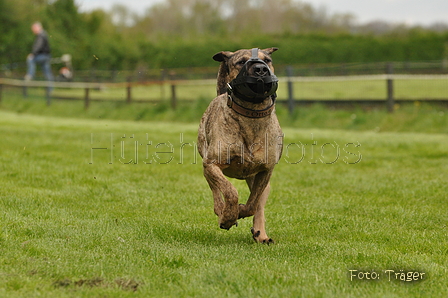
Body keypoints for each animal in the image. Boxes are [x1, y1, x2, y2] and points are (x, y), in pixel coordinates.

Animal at [197, 47, 282, 244]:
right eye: (241, 62)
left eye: (267, 60)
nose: (261, 69)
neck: (251, 113)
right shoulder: (212, 164)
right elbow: (230, 191)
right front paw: (228, 216)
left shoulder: (266, 171)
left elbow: (253, 203)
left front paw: (241, 211)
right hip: (207, 164)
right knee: (216, 192)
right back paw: (223, 211)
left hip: (262, 183)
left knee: (259, 204)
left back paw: (261, 234)